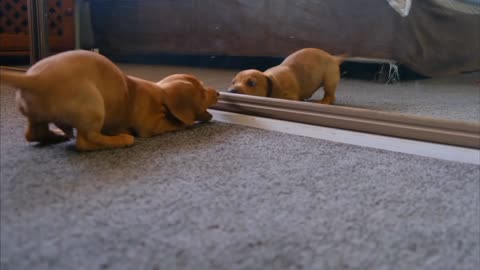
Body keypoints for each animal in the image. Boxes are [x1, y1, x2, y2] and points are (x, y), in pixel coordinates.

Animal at [0, 49, 218, 151]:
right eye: (202, 92)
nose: (217, 92)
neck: (160, 95)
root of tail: (35, 79)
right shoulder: (151, 126)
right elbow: (173, 124)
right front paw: (183, 123)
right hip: (94, 106)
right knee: (85, 142)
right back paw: (121, 139)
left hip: (36, 114)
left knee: (33, 133)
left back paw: (56, 135)